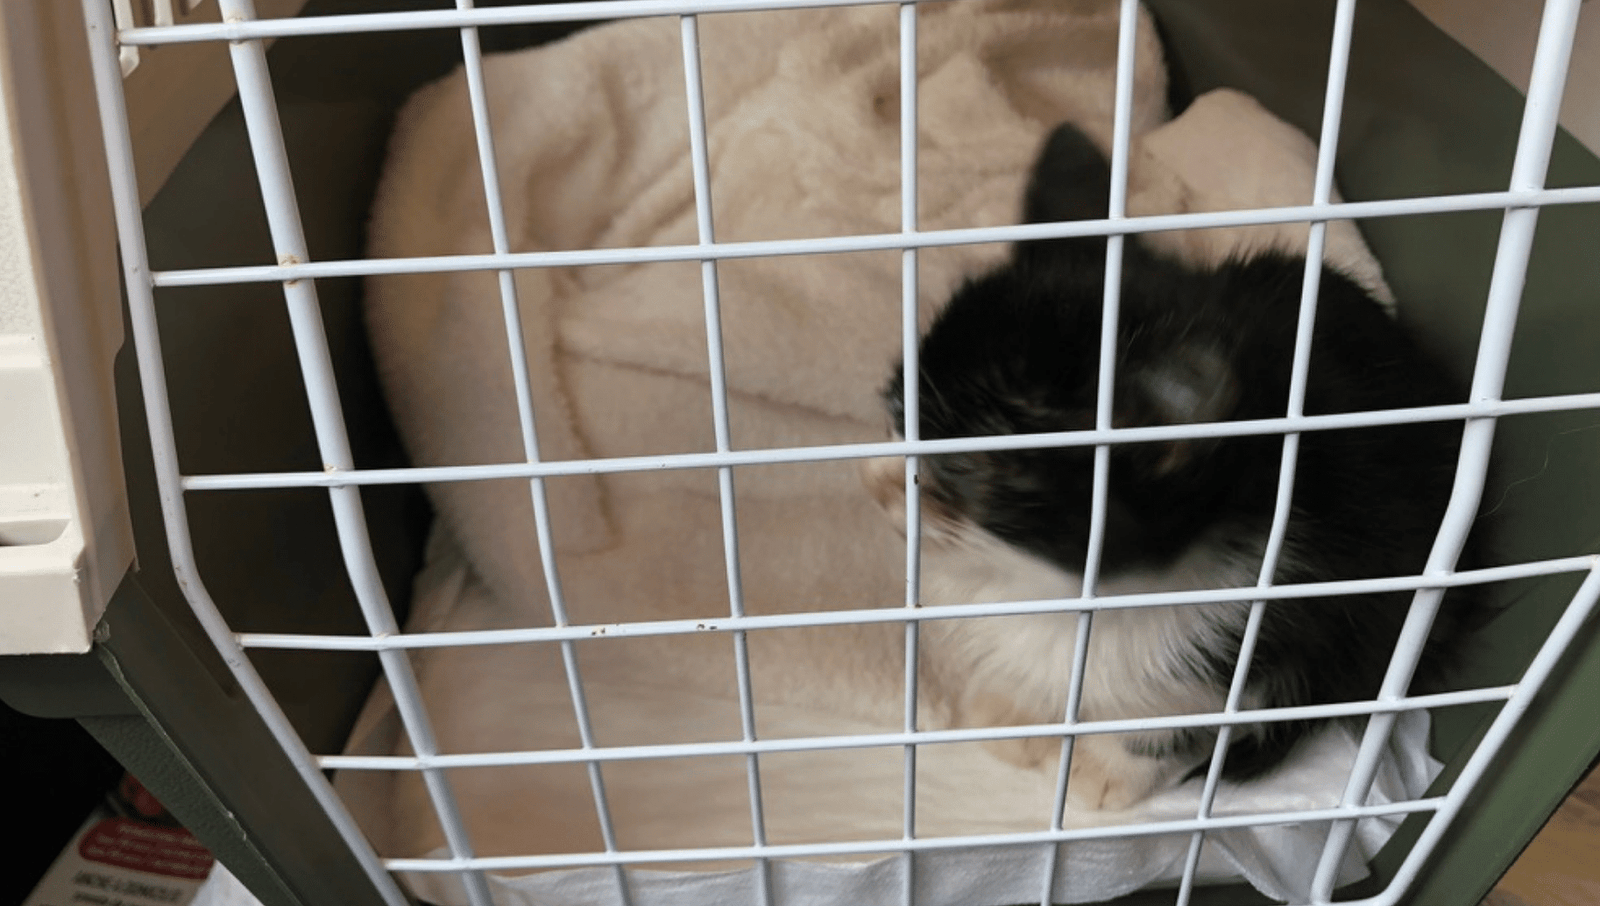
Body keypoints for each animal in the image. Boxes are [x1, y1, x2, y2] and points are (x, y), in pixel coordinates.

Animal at [865, 121, 1481, 810]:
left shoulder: (1292, 610)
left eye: (966, 467)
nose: (879, 486)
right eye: (899, 414)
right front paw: (1014, 707)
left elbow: (1197, 705)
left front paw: (1109, 769)